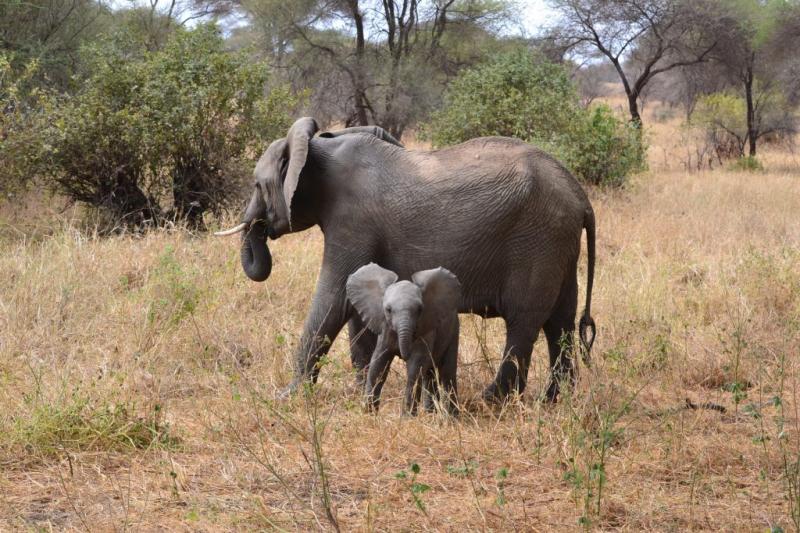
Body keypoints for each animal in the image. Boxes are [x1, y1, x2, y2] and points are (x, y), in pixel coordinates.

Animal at [346, 264, 462, 414]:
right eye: (388, 310)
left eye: (420, 309)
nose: (403, 355)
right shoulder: (385, 328)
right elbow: (378, 364)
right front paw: (368, 413)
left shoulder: (425, 328)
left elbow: (415, 366)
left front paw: (407, 417)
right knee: (429, 374)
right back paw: (431, 414)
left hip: (454, 330)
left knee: (447, 374)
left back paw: (452, 417)